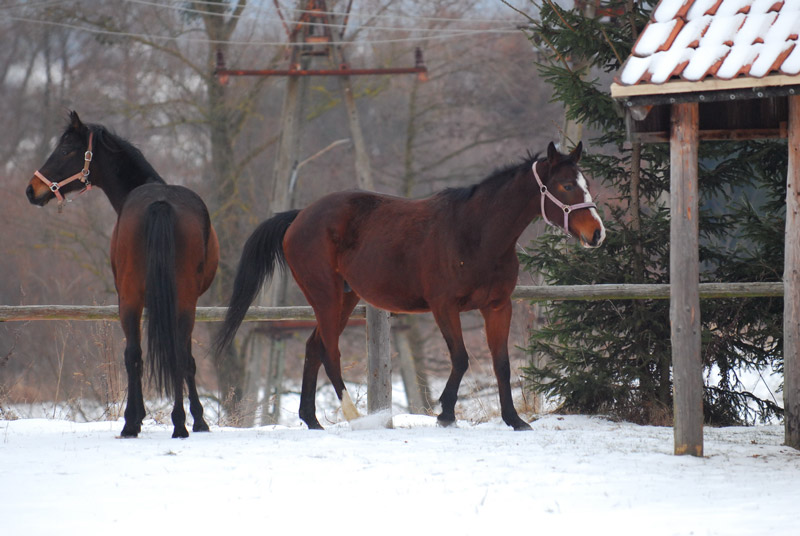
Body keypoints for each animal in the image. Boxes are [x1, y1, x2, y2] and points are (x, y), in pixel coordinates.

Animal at [27, 111, 219, 438]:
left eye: (66, 150)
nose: (31, 189)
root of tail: (161, 203)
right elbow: (179, 358)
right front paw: (191, 419)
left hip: (139, 300)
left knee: (145, 355)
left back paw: (151, 422)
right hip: (172, 300)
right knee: (158, 356)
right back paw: (172, 423)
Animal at [216, 140, 604, 430]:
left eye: (586, 183)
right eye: (567, 185)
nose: (597, 233)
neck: (475, 233)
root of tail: (299, 217)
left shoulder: (498, 306)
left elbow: (502, 363)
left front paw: (514, 420)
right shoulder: (444, 306)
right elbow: (461, 358)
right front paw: (445, 412)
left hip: (344, 299)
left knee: (314, 348)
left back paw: (312, 420)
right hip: (325, 297)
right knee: (329, 351)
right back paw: (353, 416)